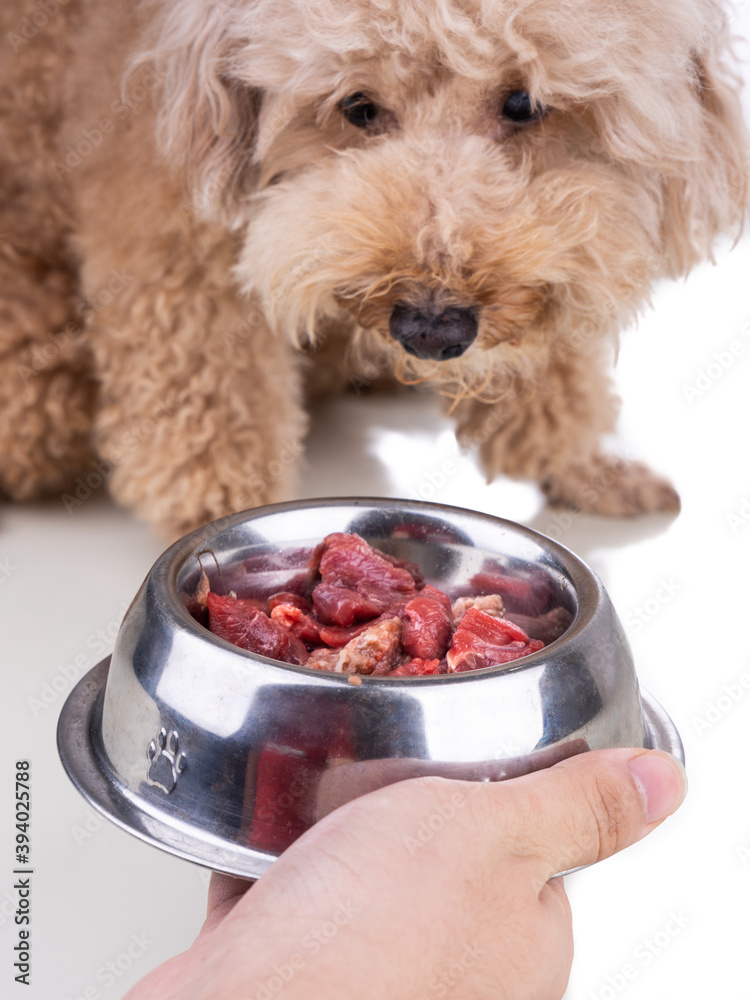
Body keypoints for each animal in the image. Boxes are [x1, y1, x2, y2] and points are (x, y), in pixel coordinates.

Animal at [0, 0, 748, 540]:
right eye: (358, 108)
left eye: (522, 104)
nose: (430, 330)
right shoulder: (170, 225)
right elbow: (211, 397)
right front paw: (221, 521)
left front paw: (580, 465)